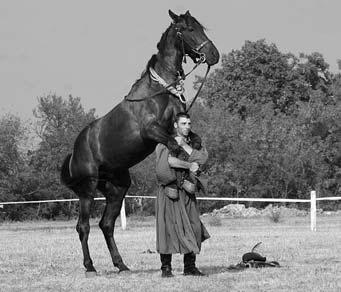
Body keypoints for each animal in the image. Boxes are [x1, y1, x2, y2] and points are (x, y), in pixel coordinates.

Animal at [60, 9, 218, 274]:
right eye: (188, 29)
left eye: (201, 27)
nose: (214, 55)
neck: (159, 90)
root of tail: (74, 152)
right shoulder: (152, 131)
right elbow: (176, 148)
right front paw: (181, 177)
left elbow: (191, 142)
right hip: (87, 189)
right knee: (84, 226)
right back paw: (90, 266)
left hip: (117, 188)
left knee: (106, 224)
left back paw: (121, 264)